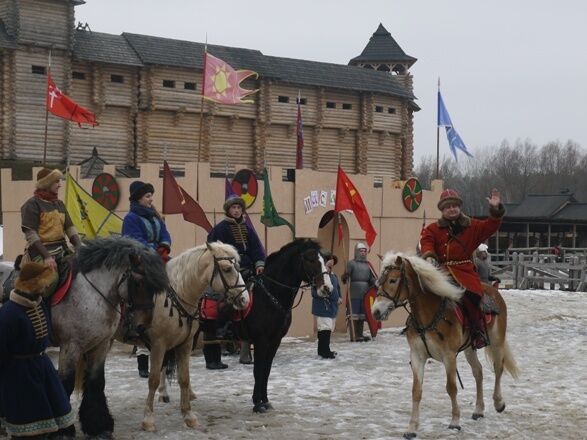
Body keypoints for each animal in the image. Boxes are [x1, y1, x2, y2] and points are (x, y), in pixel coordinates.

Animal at [52, 237, 169, 440]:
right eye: (138, 283)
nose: (142, 326)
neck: (90, 294)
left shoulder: (101, 344)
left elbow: (96, 382)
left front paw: (98, 426)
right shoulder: (71, 346)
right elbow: (65, 383)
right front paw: (64, 430)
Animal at [144, 241, 252, 430]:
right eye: (227, 269)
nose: (245, 300)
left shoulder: (182, 343)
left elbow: (183, 377)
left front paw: (188, 411)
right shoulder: (159, 343)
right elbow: (155, 377)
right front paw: (149, 419)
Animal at [241, 237, 334, 412]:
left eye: (324, 260)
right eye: (311, 259)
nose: (327, 288)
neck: (269, 294)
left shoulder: (275, 340)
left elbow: (266, 370)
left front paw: (265, 400)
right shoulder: (261, 340)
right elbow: (258, 371)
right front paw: (257, 403)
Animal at [372, 253, 520, 438]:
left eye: (392, 280)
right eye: (379, 280)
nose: (376, 311)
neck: (428, 316)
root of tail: (494, 290)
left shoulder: (449, 356)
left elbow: (451, 388)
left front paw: (455, 421)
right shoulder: (417, 356)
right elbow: (416, 391)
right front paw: (412, 428)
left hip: (496, 341)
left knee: (498, 368)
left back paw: (498, 402)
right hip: (470, 348)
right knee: (478, 372)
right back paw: (478, 409)